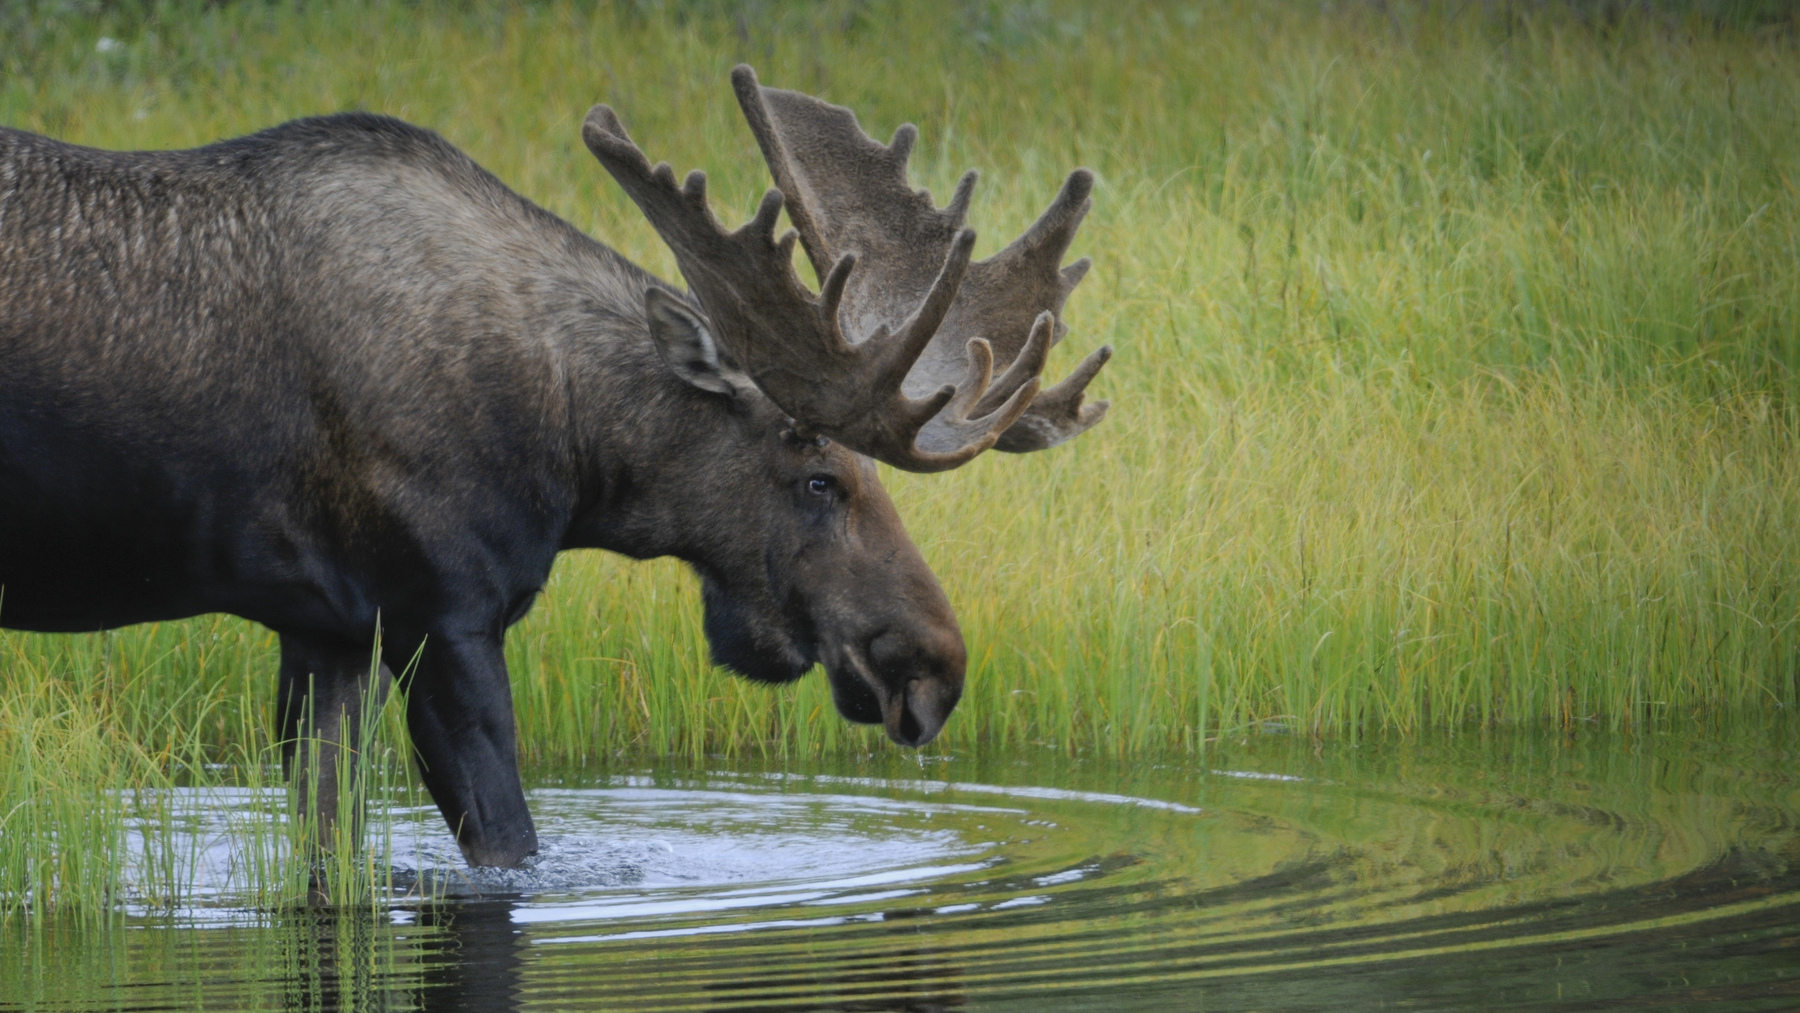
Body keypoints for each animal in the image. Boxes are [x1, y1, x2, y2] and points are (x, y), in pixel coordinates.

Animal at [0, 67, 1108, 867]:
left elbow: (326, 845)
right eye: (818, 478)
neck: (573, 452)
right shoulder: (443, 614)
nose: (934, 664)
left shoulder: (327, 631)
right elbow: (512, 850)